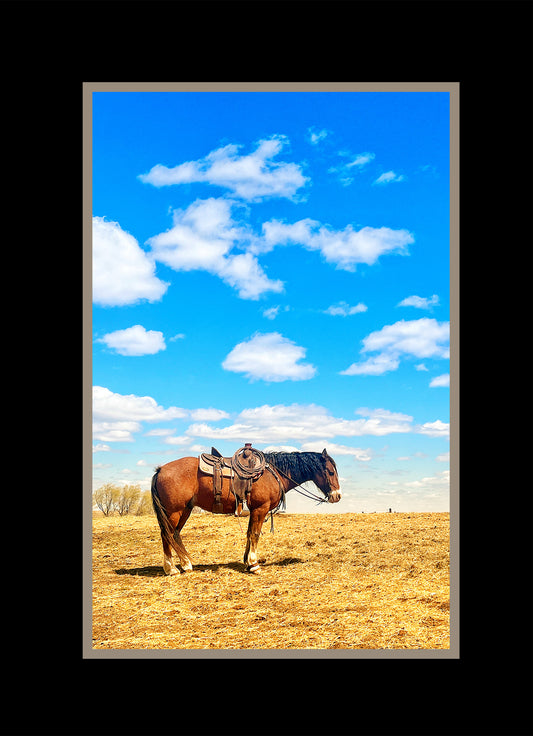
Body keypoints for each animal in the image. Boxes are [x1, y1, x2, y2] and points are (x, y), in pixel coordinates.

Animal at [150, 448, 341, 575]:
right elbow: (255, 534)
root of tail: (160, 470)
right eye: (331, 472)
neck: (272, 473)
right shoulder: (260, 508)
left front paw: (247, 562)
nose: (337, 496)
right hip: (174, 511)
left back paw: (186, 564)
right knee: (166, 534)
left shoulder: (254, 510)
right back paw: (171, 568)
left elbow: (249, 533)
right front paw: (254, 564)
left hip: (185, 510)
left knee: (175, 534)